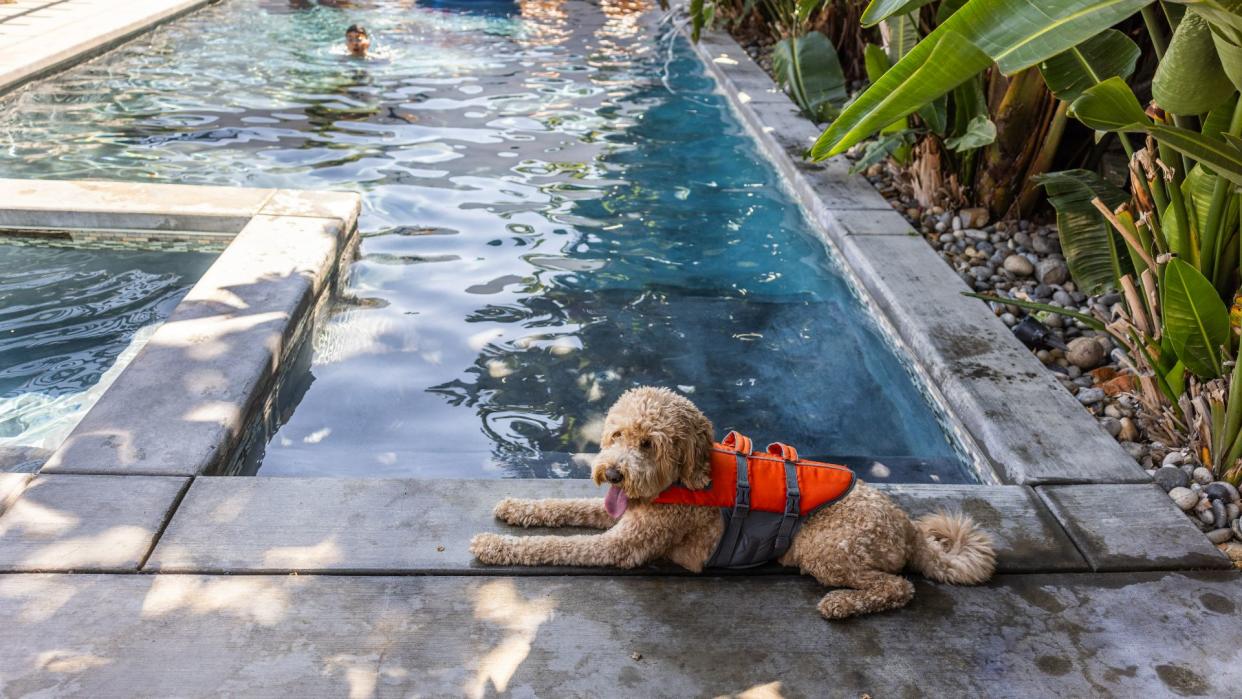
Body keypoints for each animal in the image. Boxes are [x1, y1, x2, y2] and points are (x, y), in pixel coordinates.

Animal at [466, 384, 998, 620]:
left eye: (650, 444)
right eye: (617, 434)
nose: (613, 473)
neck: (683, 478)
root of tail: (909, 529)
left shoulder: (620, 546)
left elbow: (555, 545)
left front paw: (494, 545)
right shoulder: (621, 510)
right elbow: (561, 506)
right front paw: (514, 508)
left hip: (829, 549)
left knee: (897, 587)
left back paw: (842, 603)